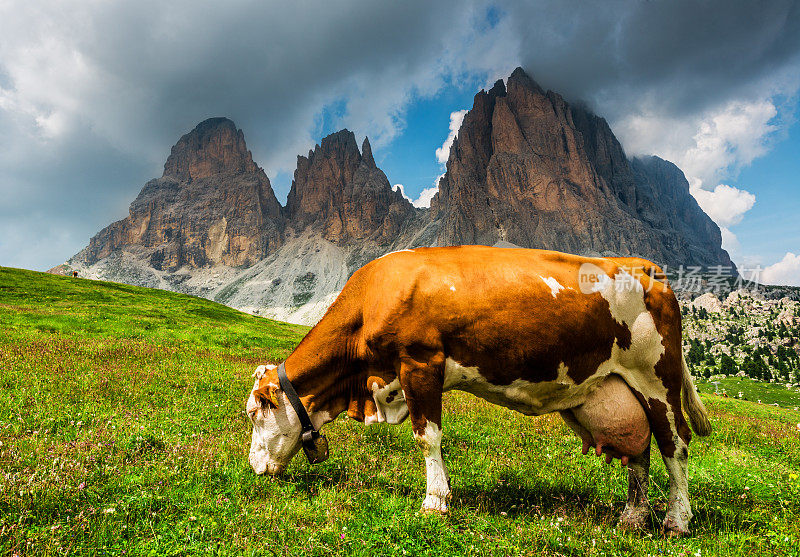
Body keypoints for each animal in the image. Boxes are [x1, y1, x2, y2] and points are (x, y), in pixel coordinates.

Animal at [247, 247, 708, 536]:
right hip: (623, 389)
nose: (252, 467)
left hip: (658, 379)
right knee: (639, 450)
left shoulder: (420, 363)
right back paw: (633, 517)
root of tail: (646, 267)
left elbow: (427, 437)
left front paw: (435, 501)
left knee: (675, 445)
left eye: (253, 413)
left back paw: (677, 521)